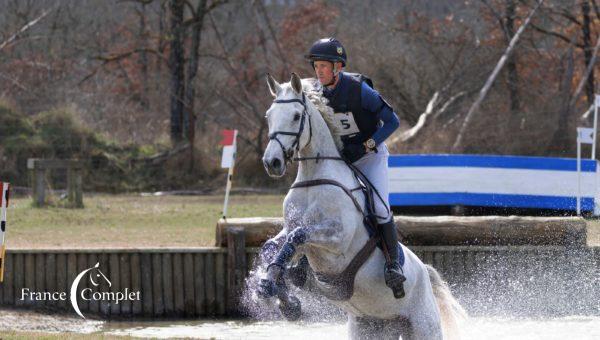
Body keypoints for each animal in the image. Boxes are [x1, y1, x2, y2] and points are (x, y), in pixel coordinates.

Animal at [258, 73, 464, 340]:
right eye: (269, 115)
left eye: (295, 116)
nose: (271, 162)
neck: (314, 176)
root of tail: (425, 274)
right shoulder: (293, 229)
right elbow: (274, 246)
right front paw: (275, 291)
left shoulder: (338, 239)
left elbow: (299, 235)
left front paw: (286, 298)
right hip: (371, 325)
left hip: (424, 326)